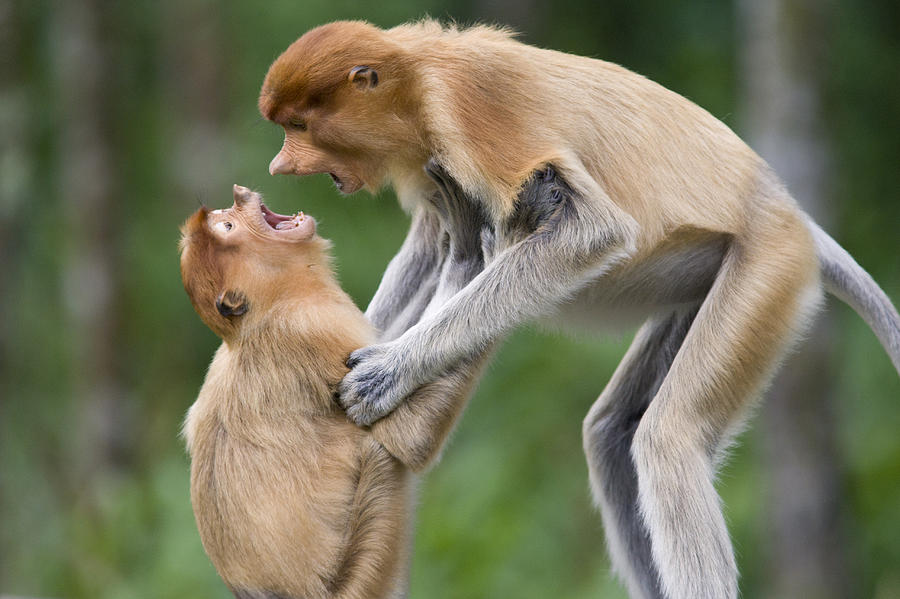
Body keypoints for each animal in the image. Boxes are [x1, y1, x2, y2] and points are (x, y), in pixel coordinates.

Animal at [258, 18, 900, 599]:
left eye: (299, 125)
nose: (279, 167)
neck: (417, 79)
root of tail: (789, 210)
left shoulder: (474, 112)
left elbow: (589, 231)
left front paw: (387, 371)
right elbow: (428, 248)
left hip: (767, 265)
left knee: (669, 438)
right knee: (613, 434)